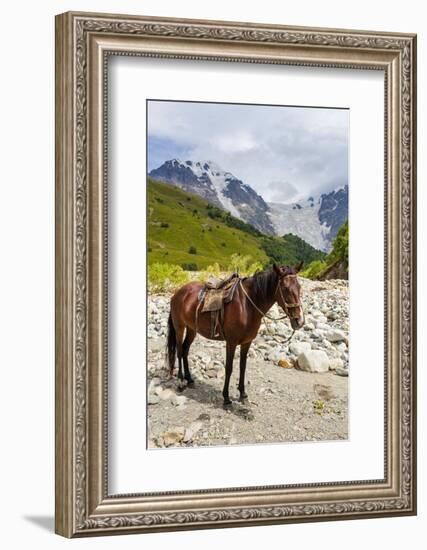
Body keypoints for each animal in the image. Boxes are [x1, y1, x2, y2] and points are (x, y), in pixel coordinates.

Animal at [166, 266, 304, 408]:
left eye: (299, 287)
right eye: (285, 288)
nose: (299, 321)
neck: (247, 305)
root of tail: (178, 292)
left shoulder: (246, 343)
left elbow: (243, 367)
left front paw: (243, 394)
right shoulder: (231, 342)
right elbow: (229, 368)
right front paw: (226, 398)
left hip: (192, 329)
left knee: (185, 350)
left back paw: (189, 379)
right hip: (179, 327)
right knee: (179, 351)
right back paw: (181, 381)